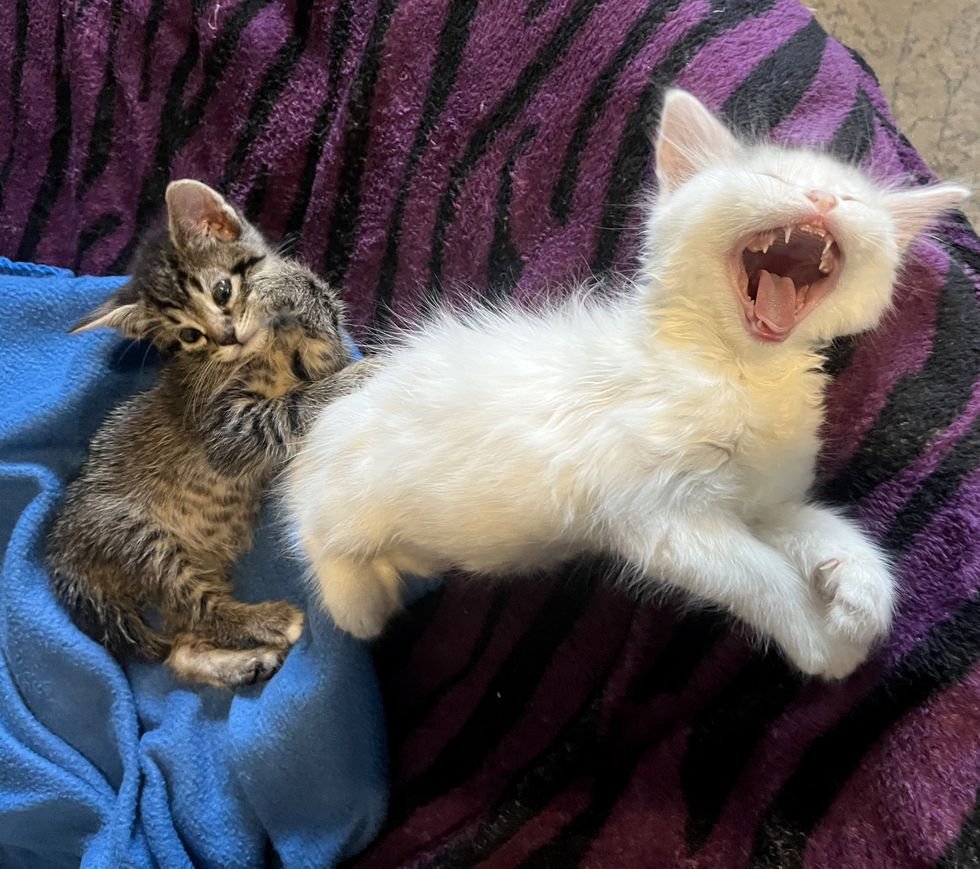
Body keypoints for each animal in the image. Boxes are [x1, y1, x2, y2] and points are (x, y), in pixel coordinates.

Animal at [47, 180, 360, 688]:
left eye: (222, 290)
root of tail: (61, 555)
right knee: (200, 613)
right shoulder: (226, 430)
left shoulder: (320, 356)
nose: (228, 336)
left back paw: (247, 662)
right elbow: (291, 406)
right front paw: (361, 375)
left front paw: (286, 283)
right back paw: (268, 621)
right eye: (190, 336)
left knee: (182, 646)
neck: (265, 347)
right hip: (144, 541)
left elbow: (322, 328)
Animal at [282, 91, 964, 680]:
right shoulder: (660, 514)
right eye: (772, 178)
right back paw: (362, 601)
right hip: (341, 495)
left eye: (850, 198)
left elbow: (815, 526)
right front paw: (822, 644)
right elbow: (759, 574)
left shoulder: (761, 500)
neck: (738, 371)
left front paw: (861, 587)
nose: (822, 198)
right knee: (317, 540)